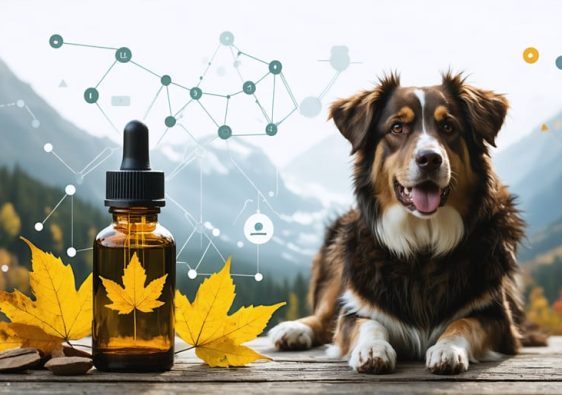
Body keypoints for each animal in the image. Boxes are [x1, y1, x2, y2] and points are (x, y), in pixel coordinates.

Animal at [266, 72, 544, 376]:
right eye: (397, 127)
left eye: (448, 126)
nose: (430, 159)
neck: (423, 243)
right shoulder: (356, 306)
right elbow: (366, 322)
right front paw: (372, 349)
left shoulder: (497, 318)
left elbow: (463, 323)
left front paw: (448, 349)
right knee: (326, 313)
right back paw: (295, 330)